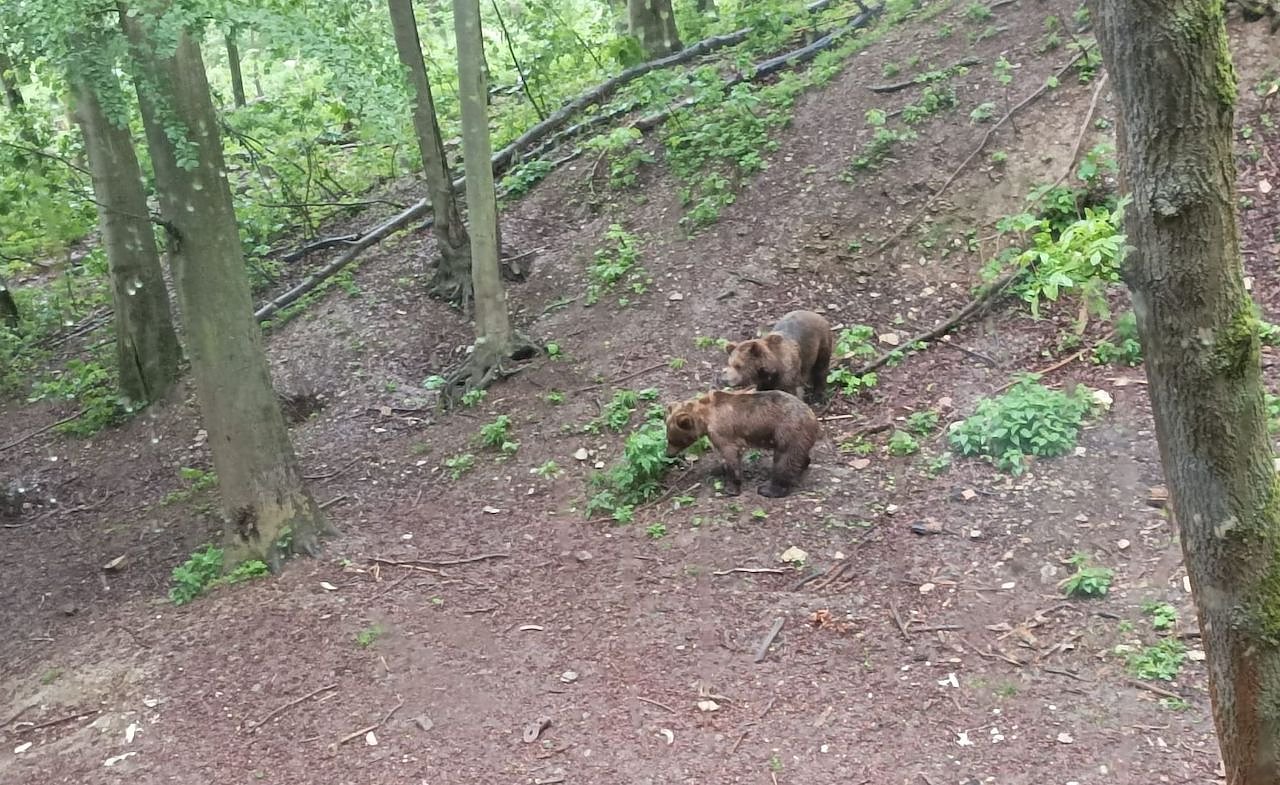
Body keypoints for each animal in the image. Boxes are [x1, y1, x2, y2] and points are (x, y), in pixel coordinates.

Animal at [664, 389, 819, 498]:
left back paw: (768, 489)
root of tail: (813, 416)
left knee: (785, 459)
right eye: (668, 437)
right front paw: (719, 470)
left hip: (787, 430)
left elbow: (731, 455)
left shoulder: (723, 432)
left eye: (673, 439)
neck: (705, 417)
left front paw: (731, 488)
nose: (668, 454)